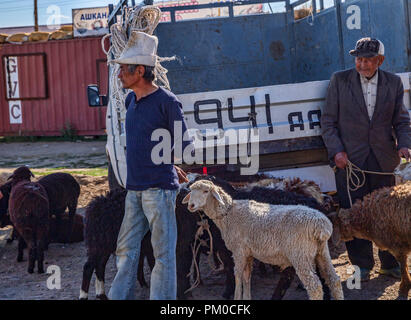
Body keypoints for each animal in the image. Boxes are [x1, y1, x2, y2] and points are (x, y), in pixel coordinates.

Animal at [183, 180, 344, 300]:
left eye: (206, 191)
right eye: (191, 192)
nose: (191, 205)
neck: (229, 213)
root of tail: (321, 224)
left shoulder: (239, 250)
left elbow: (238, 275)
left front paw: (236, 297)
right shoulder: (248, 253)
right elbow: (247, 276)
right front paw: (247, 298)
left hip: (300, 254)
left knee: (314, 286)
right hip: (321, 252)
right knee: (334, 281)